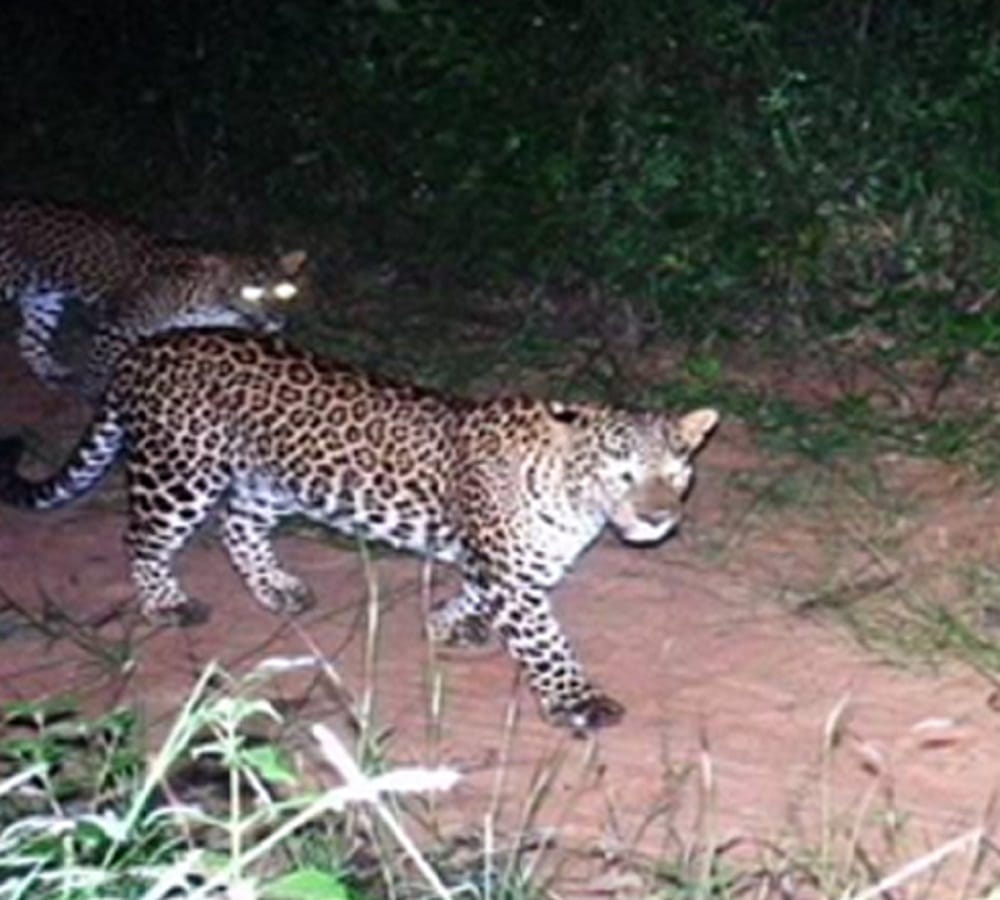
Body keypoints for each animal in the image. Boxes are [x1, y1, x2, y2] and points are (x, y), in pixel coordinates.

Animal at [0, 199, 307, 394]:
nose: (278, 319)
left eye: (284, 291)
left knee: (27, 338)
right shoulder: (115, 329)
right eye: (249, 292)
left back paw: (51, 374)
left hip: (44, 296)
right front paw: (95, 395)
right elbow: (100, 369)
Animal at [0, 329, 718, 732]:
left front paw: (448, 622)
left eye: (678, 471)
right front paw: (578, 700)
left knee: (238, 526)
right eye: (620, 473)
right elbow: (546, 643)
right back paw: (165, 602)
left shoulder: (512, 566)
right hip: (180, 472)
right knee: (143, 537)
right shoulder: (514, 575)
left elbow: (476, 590)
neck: (572, 497)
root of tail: (142, 348)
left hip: (268, 480)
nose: (658, 516)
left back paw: (278, 589)